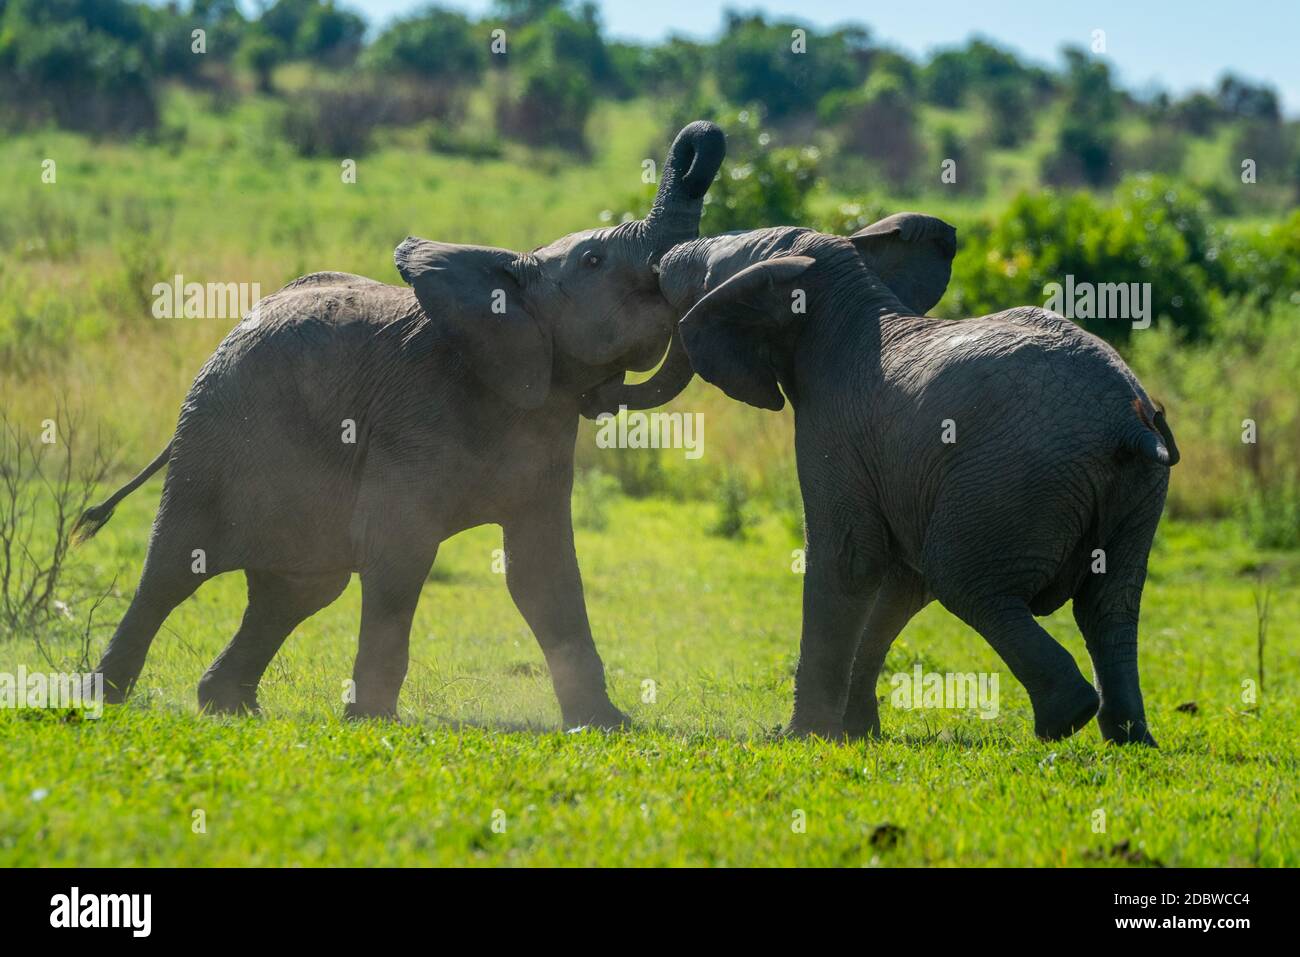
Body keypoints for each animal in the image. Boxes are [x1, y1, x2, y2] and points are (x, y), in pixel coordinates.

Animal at [76, 123, 728, 728]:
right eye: (594, 261)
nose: (700, 138)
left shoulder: (544, 429)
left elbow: (542, 572)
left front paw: (605, 724)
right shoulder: (414, 420)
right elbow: (398, 554)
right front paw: (372, 720)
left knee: (301, 588)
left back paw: (228, 706)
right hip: (214, 430)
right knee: (176, 567)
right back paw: (102, 698)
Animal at [595, 217, 1175, 748]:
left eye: (706, 274)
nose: (658, 267)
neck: (850, 293)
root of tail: (1128, 419)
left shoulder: (833, 426)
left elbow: (849, 560)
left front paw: (802, 736)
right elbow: (898, 582)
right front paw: (857, 733)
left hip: (1015, 474)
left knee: (966, 579)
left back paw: (1067, 718)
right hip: (1134, 491)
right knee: (1110, 603)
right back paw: (1129, 738)